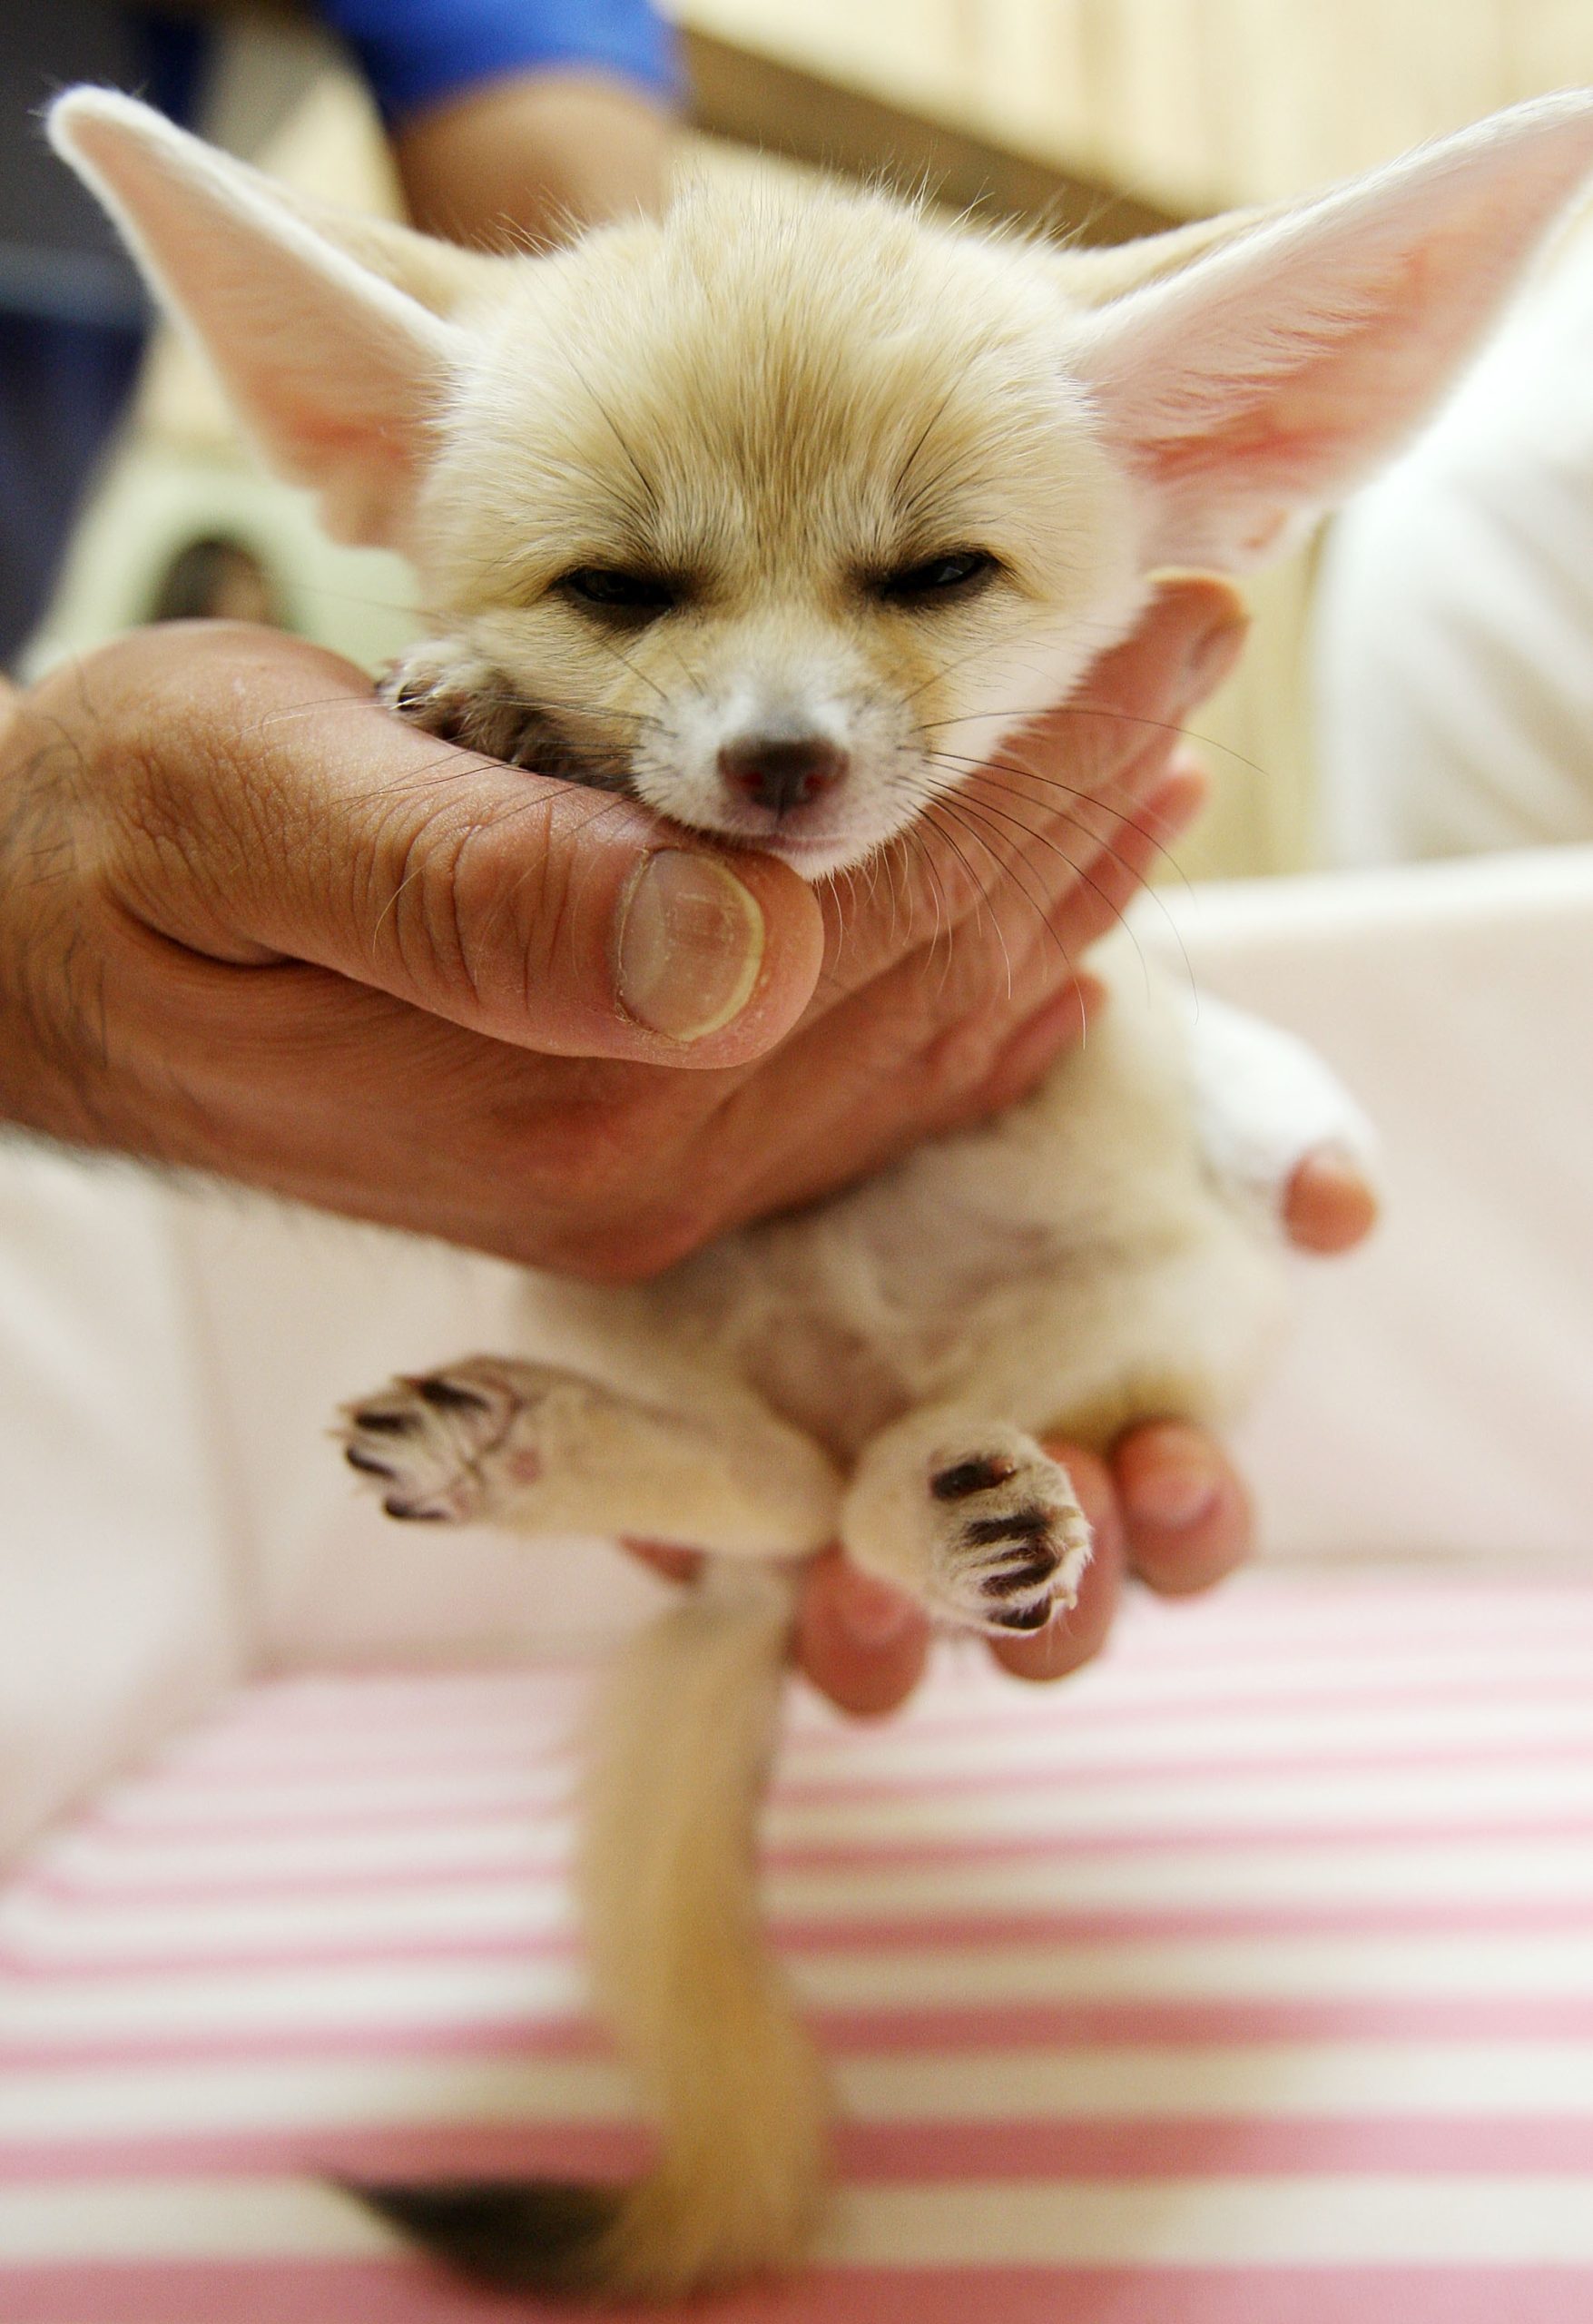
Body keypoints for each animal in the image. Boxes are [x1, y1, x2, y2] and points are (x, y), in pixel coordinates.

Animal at [56, 82, 1593, 2296]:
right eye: (617, 589)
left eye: (937, 573)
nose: (777, 763)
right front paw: (498, 710)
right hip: (604, 1308)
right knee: (782, 1499)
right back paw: (526, 1446)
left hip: (1163, 1304)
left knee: (854, 1501)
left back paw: (957, 1513)